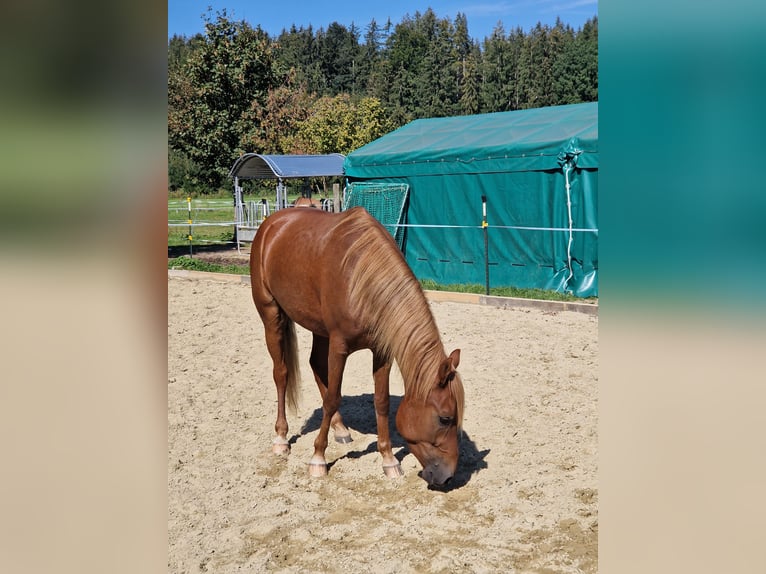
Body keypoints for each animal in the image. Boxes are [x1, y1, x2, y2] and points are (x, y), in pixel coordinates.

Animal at [252, 207, 468, 490]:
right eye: (445, 418)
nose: (448, 476)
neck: (362, 279)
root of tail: (271, 224)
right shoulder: (339, 346)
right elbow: (333, 397)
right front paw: (318, 458)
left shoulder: (382, 352)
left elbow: (381, 401)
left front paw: (389, 459)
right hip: (271, 315)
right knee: (281, 373)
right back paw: (281, 437)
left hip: (318, 328)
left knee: (315, 365)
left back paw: (340, 429)